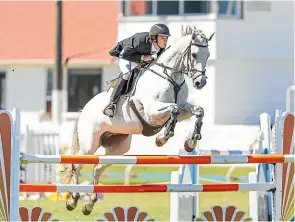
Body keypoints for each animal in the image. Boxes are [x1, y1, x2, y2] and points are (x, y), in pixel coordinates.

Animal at [57, 25, 215, 215]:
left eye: (208, 55)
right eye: (194, 55)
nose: (200, 83)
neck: (170, 77)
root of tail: (83, 110)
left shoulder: (184, 107)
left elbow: (198, 111)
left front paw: (190, 142)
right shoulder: (150, 112)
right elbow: (173, 110)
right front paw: (162, 138)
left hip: (118, 148)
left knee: (98, 167)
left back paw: (89, 204)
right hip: (89, 145)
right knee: (77, 165)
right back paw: (72, 200)